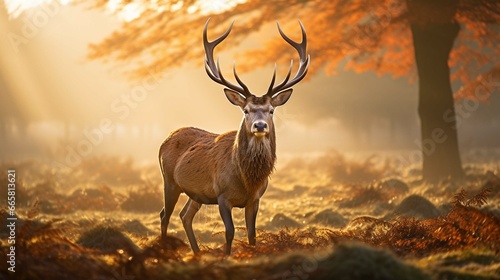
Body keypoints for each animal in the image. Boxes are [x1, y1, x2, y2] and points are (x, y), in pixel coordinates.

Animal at [160, 18, 308, 256]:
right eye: (246, 110)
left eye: (271, 110)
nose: (259, 125)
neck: (247, 179)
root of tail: (166, 139)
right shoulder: (222, 196)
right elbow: (229, 232)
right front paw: (226, 256)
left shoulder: (255, 199)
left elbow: (252, 235)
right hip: (169, 181)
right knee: (165, 215)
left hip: (196, 193)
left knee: (185, 215)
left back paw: (197, 253)